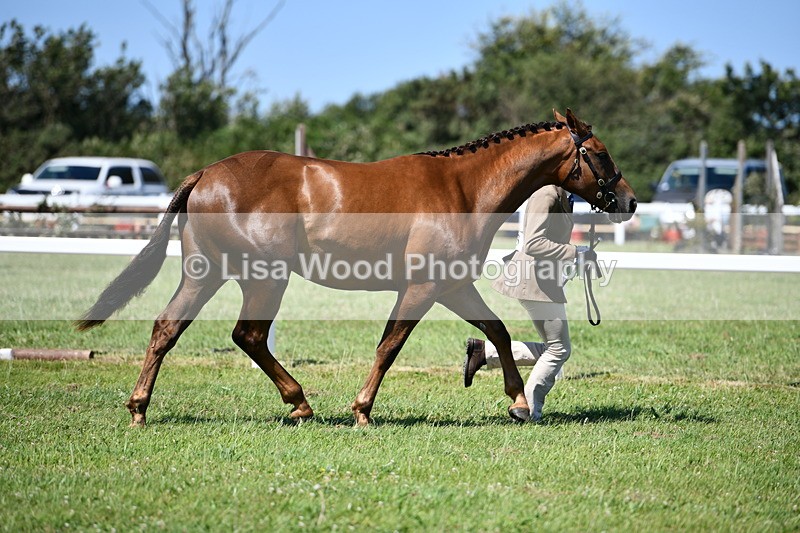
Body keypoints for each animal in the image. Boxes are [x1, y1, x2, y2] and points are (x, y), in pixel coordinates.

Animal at [76, 108, 637, 427]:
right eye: (601, 153)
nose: (629, 201)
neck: (462, 189)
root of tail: (205, 174)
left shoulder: (451, 285)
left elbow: (495, 330)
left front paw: (518, 403)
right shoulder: (424, 286)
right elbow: (390, 346)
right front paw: (363, 409)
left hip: (207, 273)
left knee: (169, 328)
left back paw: (140, 409)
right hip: (263, 277)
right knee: (247, 335)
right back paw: (299, 403)